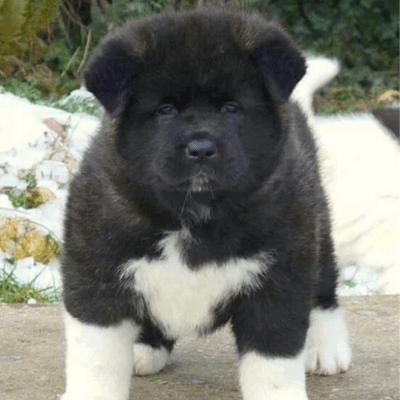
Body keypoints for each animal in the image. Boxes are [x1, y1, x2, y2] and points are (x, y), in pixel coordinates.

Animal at [60, 7, 350, 400]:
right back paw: (146, 347)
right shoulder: (96, 277)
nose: (200, 148)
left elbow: (273, 363)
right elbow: (97, 360)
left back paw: (326, 347)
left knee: (324, 284)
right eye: (165, 109)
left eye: (231, 107)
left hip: (316, 223)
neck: (193, 213)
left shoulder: (278, 282)